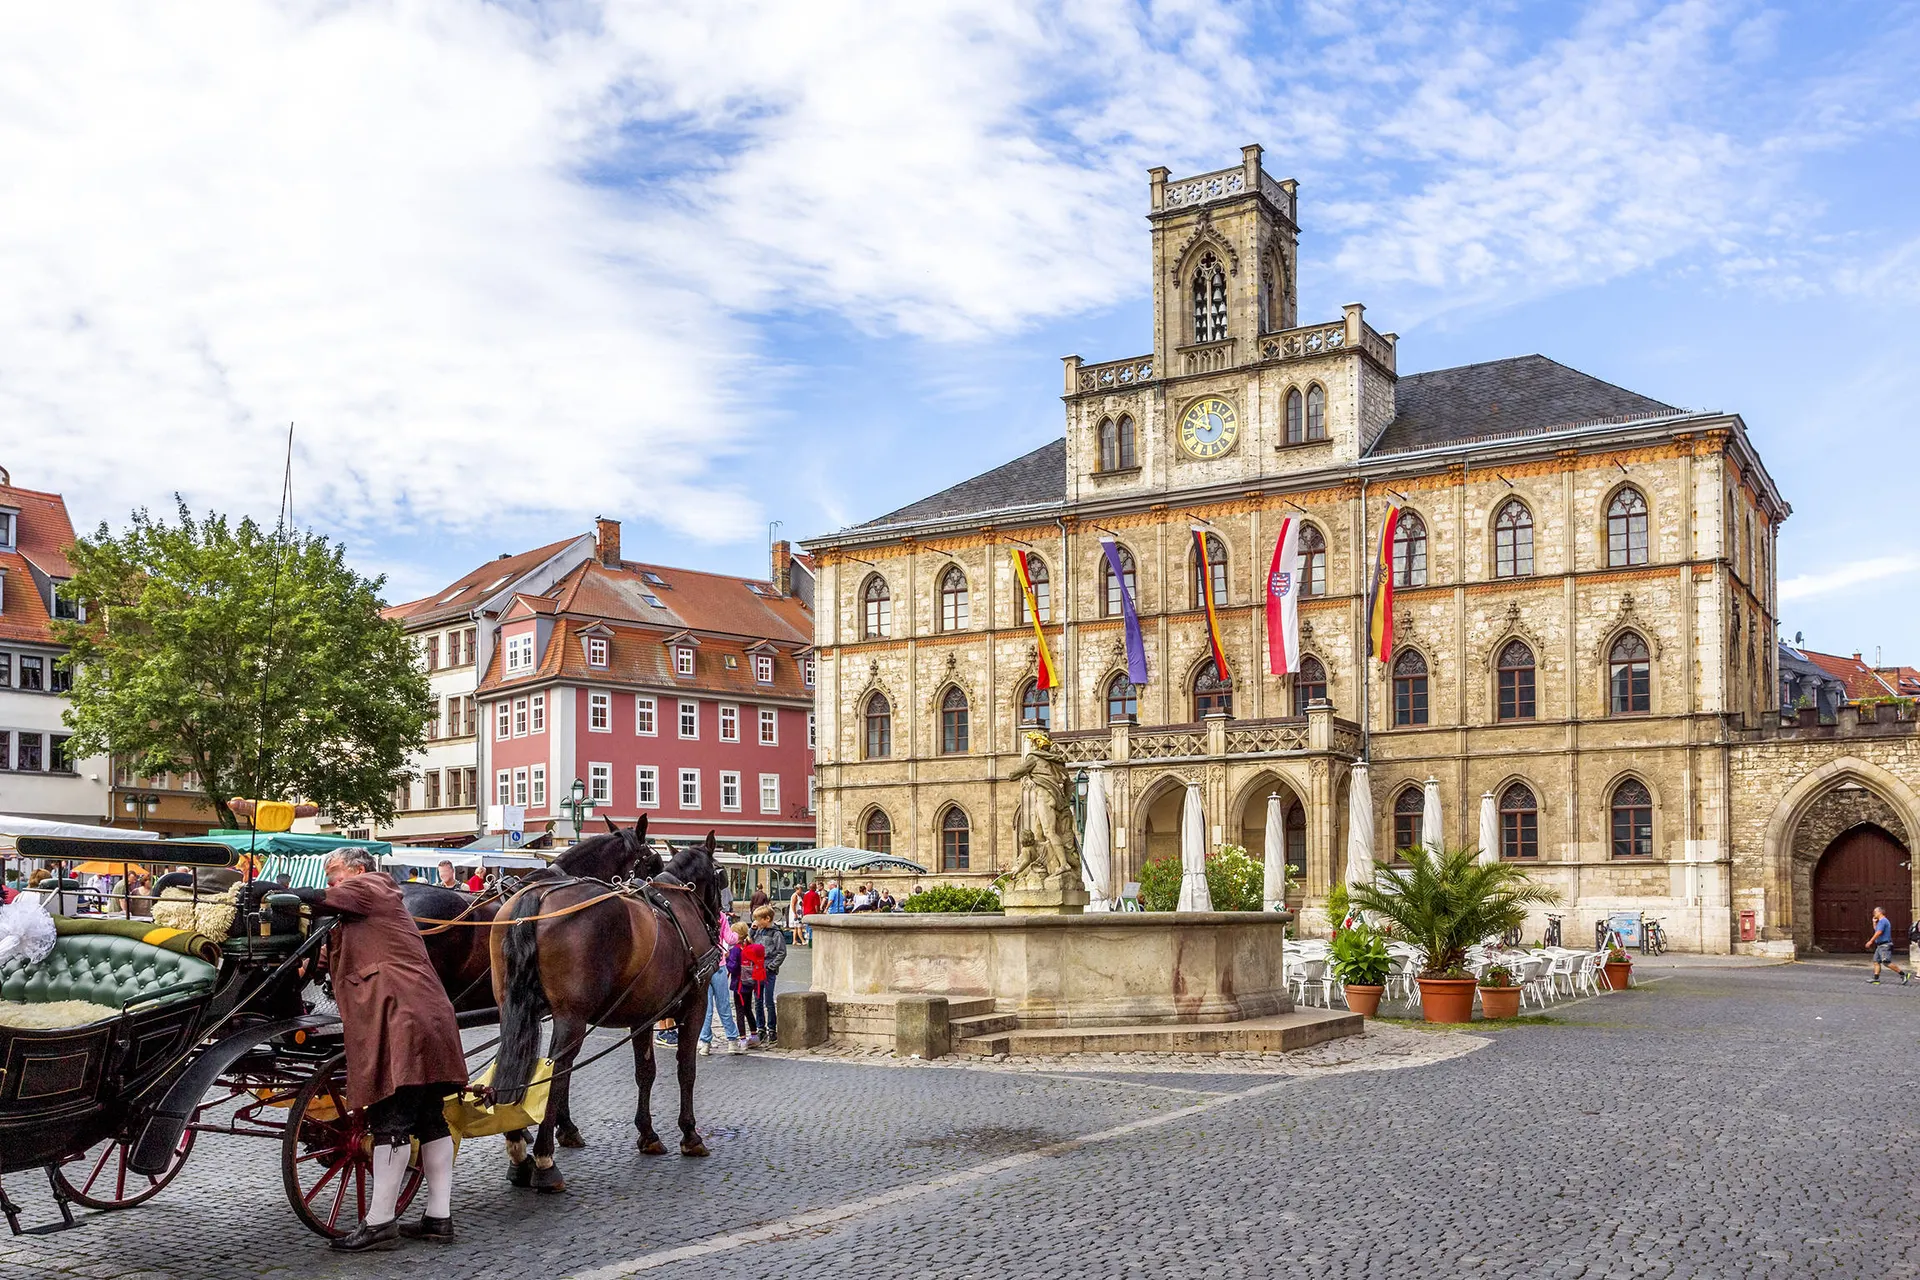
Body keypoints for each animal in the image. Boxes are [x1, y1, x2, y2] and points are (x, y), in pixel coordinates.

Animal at [487, 832, 725, 1189]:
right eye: (722, 876)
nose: (722, 917)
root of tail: (536, 898)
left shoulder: (644, 1015)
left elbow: (645, 1072)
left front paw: (648, 1134)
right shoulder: (695, 1004)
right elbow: (686, 1069)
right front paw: (690, 1134)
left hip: (514, 1008)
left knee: (517, 1059)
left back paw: (519, 1148)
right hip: (571, 1017)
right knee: (557, 1069)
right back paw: (544, 1159)